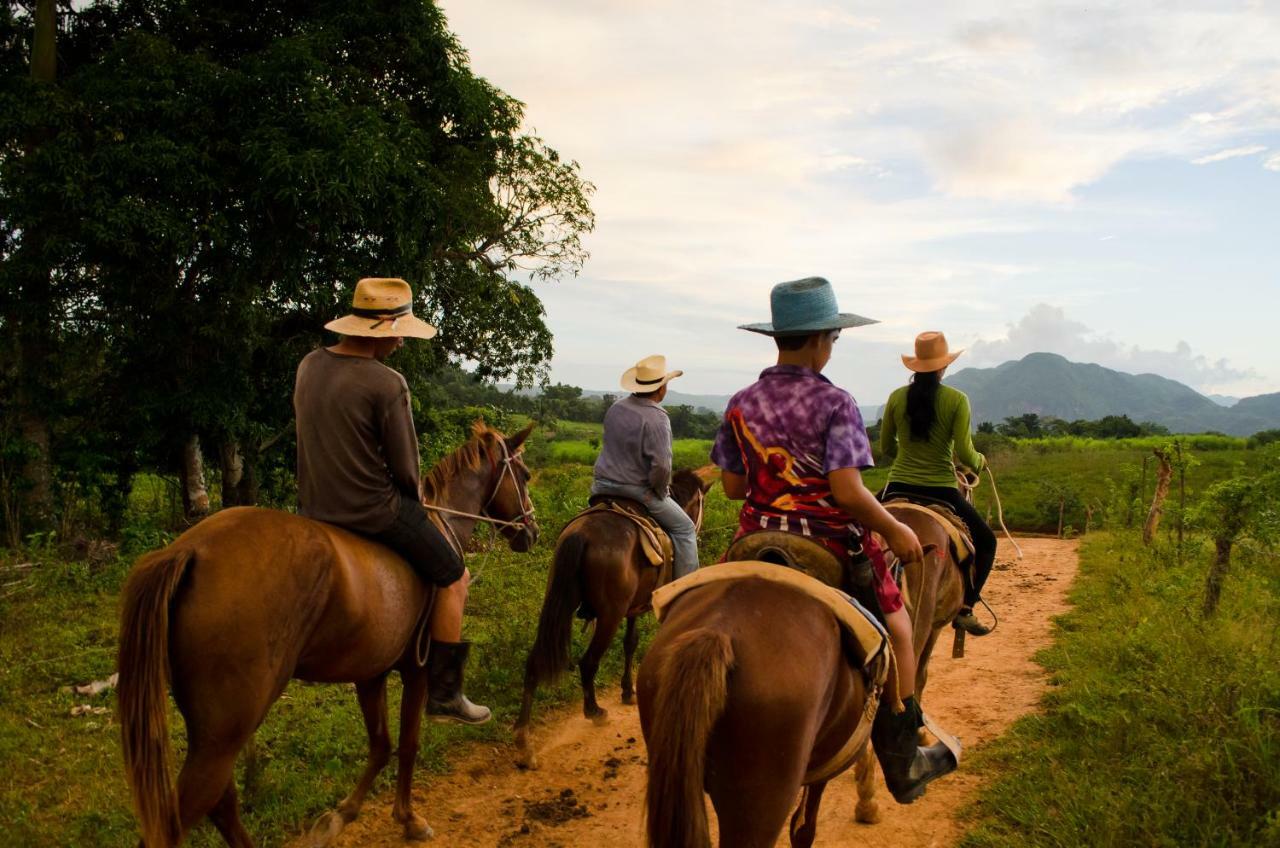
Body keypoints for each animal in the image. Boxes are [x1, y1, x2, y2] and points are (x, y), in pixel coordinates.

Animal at [117, 422, 537, 845]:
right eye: (525, 475)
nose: (532, 531)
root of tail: (189, 551)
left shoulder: (371, 673)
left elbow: (381, 745)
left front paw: (341, 814)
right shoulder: (416, 669)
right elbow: (408, 743)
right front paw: (408, 818)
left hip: (211, 732)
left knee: (220, 802)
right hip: (225, 732)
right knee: (185, 813)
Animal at [509, 471, 711, 768]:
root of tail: (582, 534)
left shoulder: (635, 607)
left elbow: (630, 643)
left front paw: (627, 691)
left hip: (561, 600)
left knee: (535, 662)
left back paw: (524, 740)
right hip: (609, 614)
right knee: (588, 662)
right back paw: (594, 711)